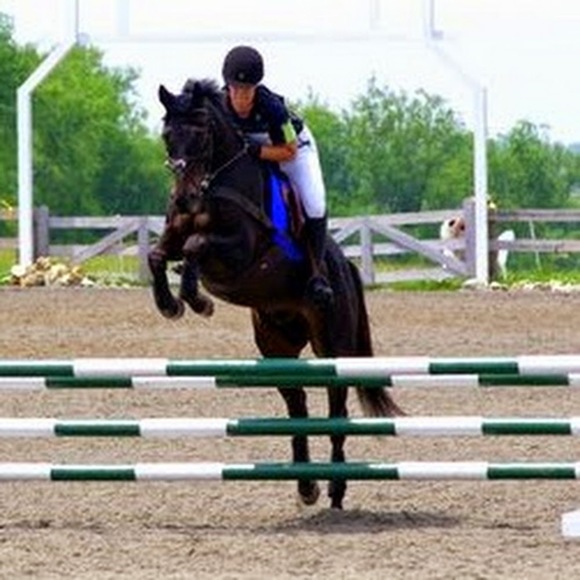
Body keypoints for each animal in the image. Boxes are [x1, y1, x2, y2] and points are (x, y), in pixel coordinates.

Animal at [148, 78, 403, 509]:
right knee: (296, 400)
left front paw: (197, 300)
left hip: (331, 342)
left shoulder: (241, 251)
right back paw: (306, 485)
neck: (214, 184)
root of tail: (346, 267)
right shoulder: (175, 234)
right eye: (168, 136)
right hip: (274, 343)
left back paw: (335, 487)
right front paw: (171, 304)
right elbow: (156, 254)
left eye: (201, 136)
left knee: (336, 401)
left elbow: (198, 245)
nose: (185, 197)